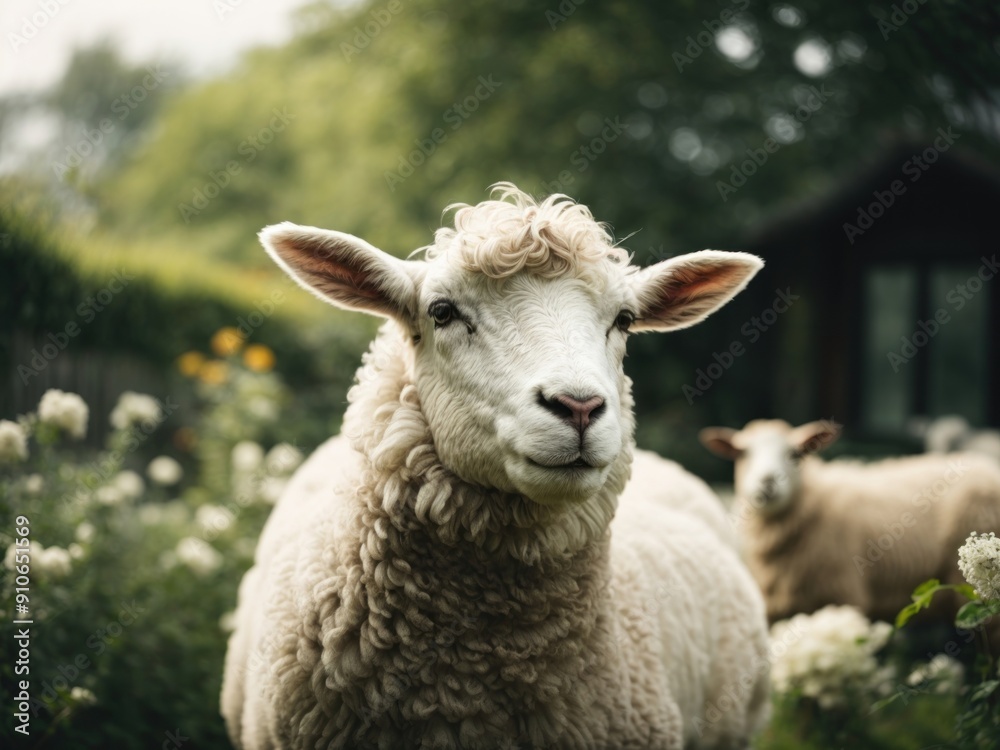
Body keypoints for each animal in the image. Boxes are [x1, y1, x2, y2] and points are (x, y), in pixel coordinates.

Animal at [699, 419, 1000, 629]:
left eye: (795, 454)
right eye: (742, 453)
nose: (767, 482)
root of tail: (988, 465)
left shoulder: (844, 596)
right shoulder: (774, 611)